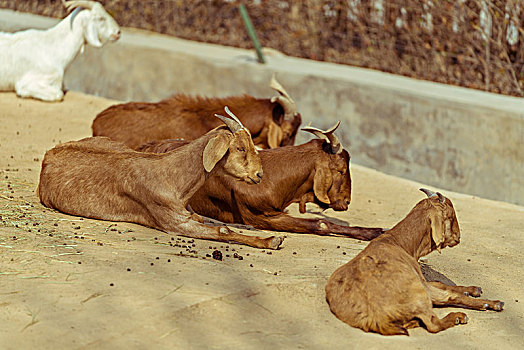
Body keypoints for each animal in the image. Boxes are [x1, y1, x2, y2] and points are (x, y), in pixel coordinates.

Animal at [37, 106, 284, 249]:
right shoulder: (174, 222)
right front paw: (272, 240)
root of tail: (49, 154)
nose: (259, 174)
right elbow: (221, 230)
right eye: (240, 147)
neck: (173, 178)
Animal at [328, 189, 504, 336]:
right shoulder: (424, 285)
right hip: (420, 295)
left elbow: (442, 284)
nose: (458, 237)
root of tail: (375, 317)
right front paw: (492, 303)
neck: (398, 242)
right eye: (450, 216)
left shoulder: (424, 280)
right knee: (433, 324)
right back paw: (458, 317)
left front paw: (473, 289)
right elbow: (451, 295)